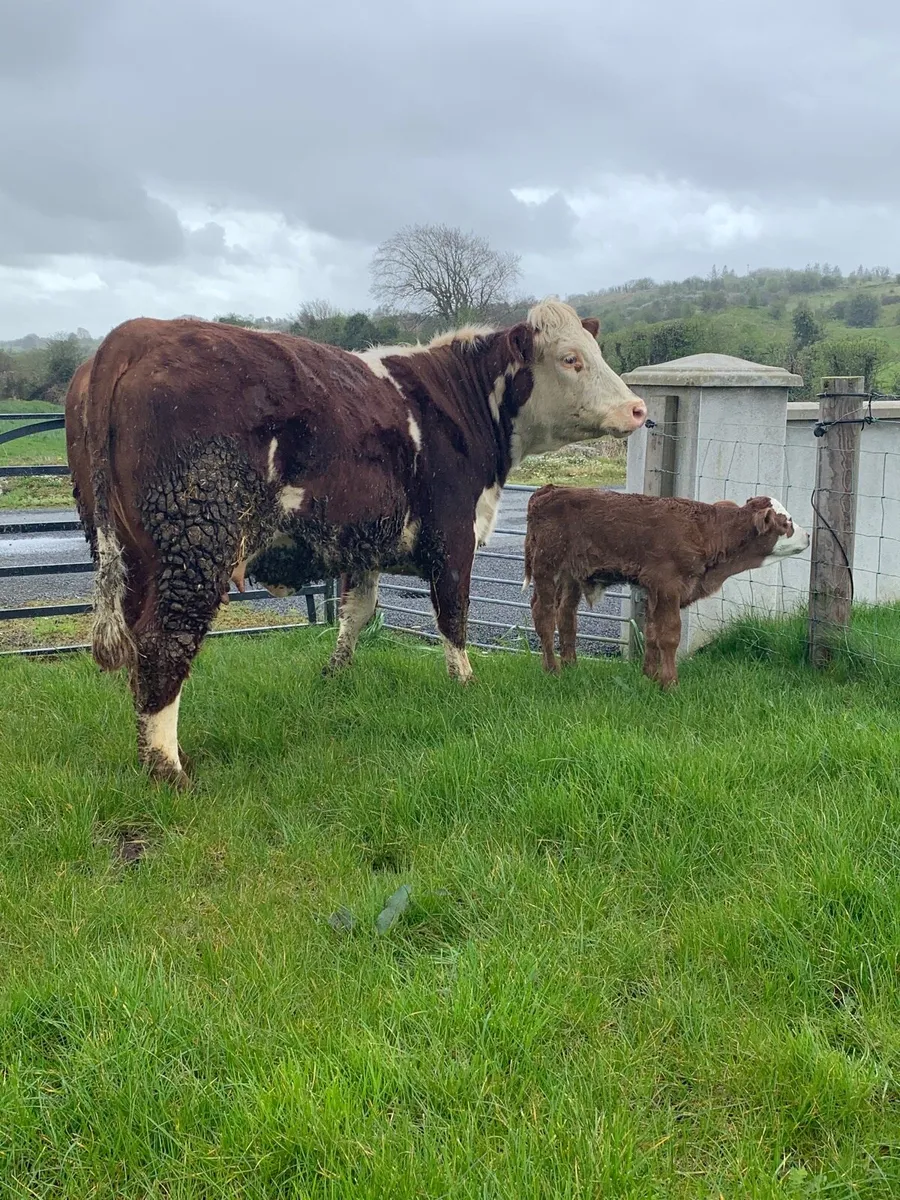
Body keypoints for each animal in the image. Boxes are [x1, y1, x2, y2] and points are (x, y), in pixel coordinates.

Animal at [68, 300, 647, 786]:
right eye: (571, 359)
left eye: (595, 351)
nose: (639, 408)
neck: (461, 404)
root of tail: (135, 333)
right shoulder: (453, 535)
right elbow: (453, 613)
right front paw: (464, 683)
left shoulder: (362, 542)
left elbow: (358, 611)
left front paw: (335, 673)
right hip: (195, 542)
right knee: (165, 641)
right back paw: (169, 771)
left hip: (129, 554)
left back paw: (158, 754)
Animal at [522, 486, 810, 688]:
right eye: (786, 522)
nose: (808, 535)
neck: (705, 531)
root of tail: (549, 490)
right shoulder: (668, 586)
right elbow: (669, 635)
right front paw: (670, 683)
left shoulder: (654, 590)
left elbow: (652, 633)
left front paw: (649, 677)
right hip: (547, 569)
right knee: (544, 616)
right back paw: (552, 670)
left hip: (571, 577)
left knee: (566, 617)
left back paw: (571, 666)